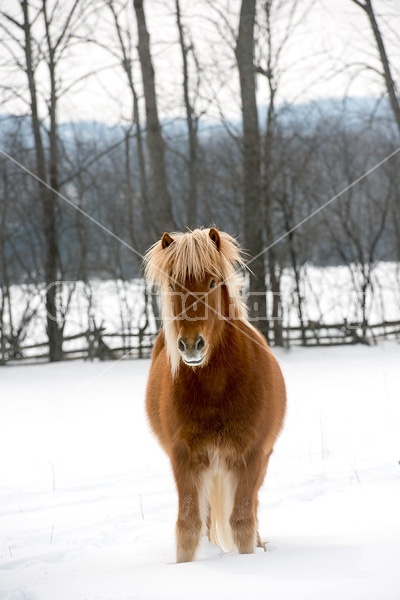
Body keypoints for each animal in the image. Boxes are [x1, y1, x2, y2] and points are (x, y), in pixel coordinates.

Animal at [143, 226, 284, 564]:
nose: (191, 345)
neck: (215, 388)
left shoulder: (250, 457)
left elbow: (242, 521)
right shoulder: (185, 459)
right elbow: (188, 525)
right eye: (173, 284)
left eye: (211, 282)